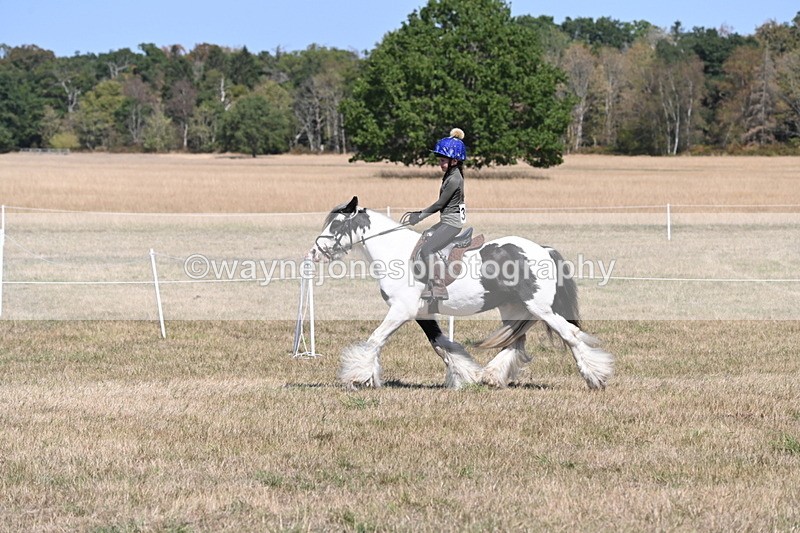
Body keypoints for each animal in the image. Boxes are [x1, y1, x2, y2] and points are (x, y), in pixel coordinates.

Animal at [308, 196, 613, 390]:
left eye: (337, 225)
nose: (315, 253)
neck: (395, 253)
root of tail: (543, 249)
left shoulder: (400, 311)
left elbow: (375, 340)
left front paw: (358, 377)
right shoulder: (421, 314)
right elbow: (442, 345)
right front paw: (466, 376)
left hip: (540, 308)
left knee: (569, 334)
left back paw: (595, 377)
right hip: (514, 309)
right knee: (516, 342)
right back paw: (491, 377)